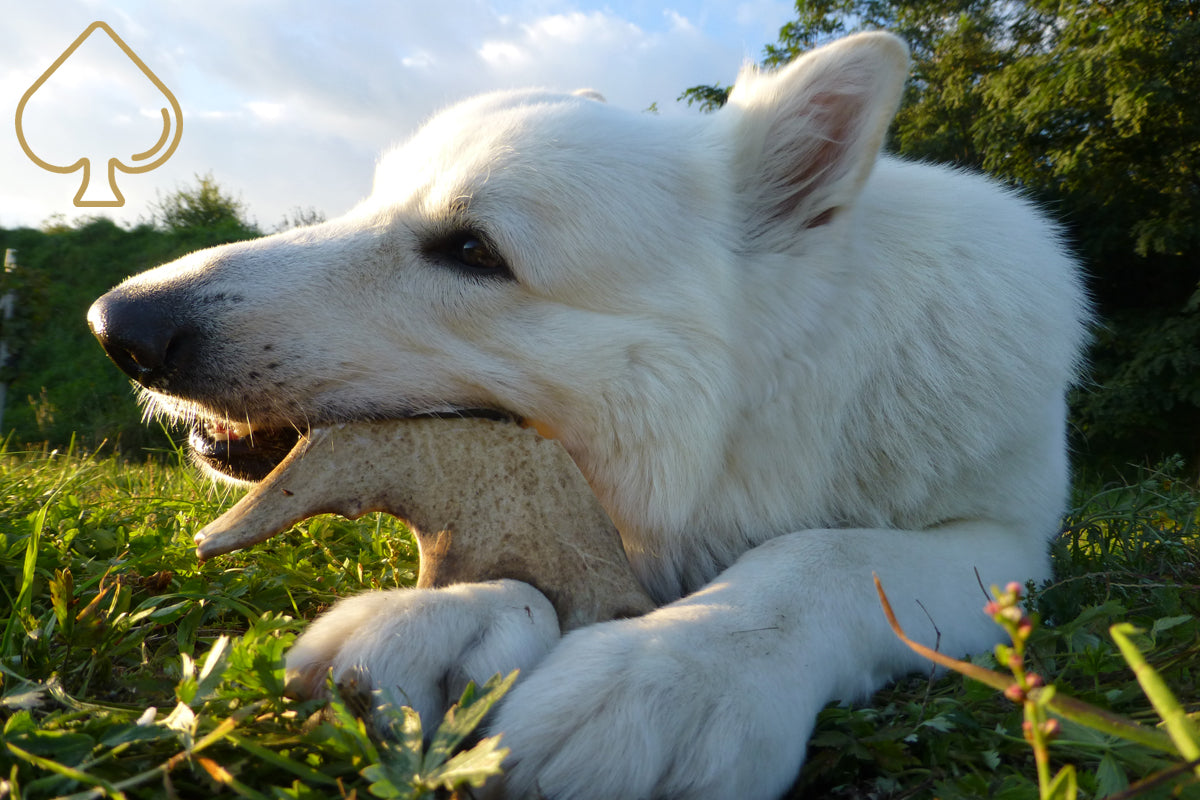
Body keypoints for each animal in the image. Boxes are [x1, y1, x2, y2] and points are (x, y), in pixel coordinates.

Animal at [88, 32, 1094, 800]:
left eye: (472, 250)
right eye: (368, 203)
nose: (117, 326)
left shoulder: (1008, 543)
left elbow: (829, 555)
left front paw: (672, 673)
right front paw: (451, 618)